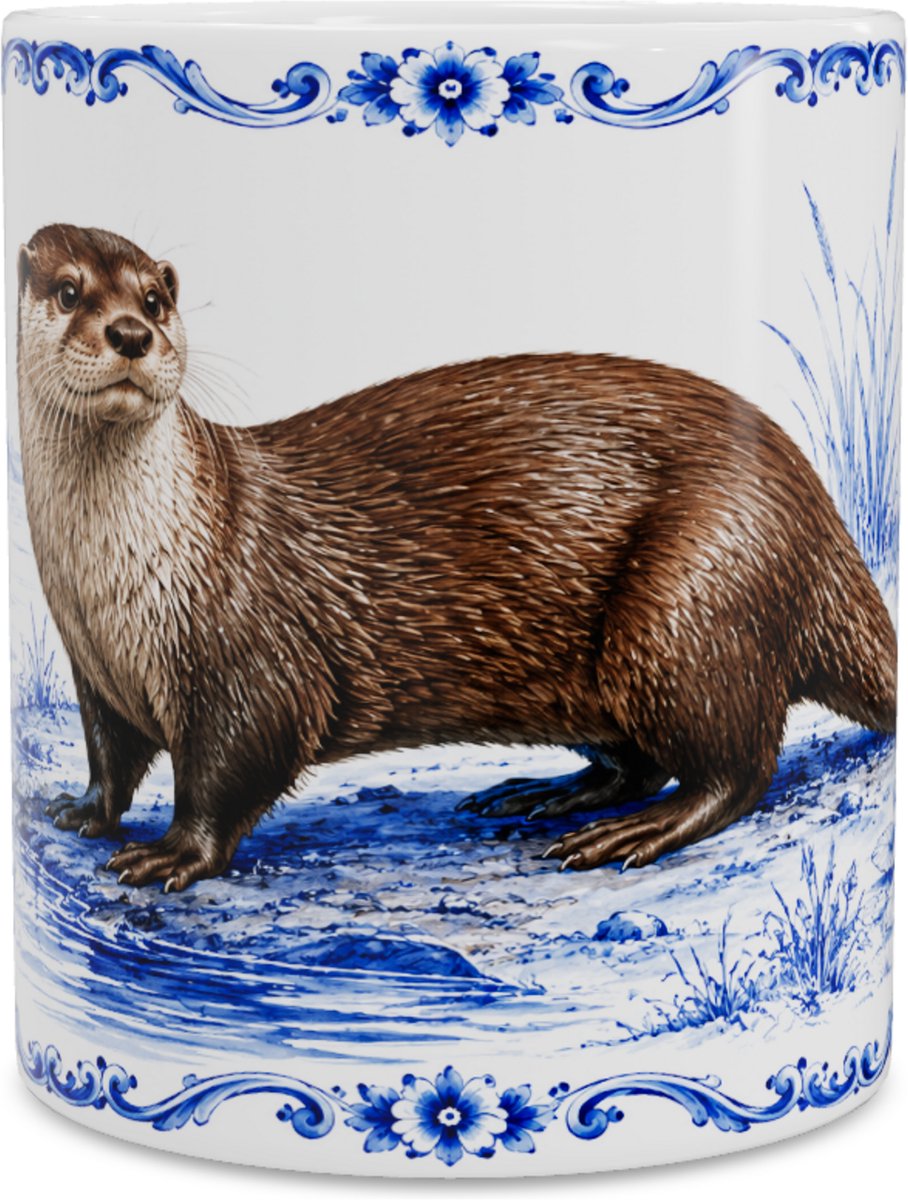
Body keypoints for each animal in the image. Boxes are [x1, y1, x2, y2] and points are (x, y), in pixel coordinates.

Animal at [16, 224, 896, 892]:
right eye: (68, 291)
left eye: (154, 301)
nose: (132, 333)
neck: (115, 592)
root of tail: (820, 525)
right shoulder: (94, 673)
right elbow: (111, 756)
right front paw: (83, 810)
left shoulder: (252, 658)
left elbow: (234, 766)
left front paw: (173, 852)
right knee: (644, 760)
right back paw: (546, 794)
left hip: (690, 600)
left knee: (737, 763)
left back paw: (632, 832)